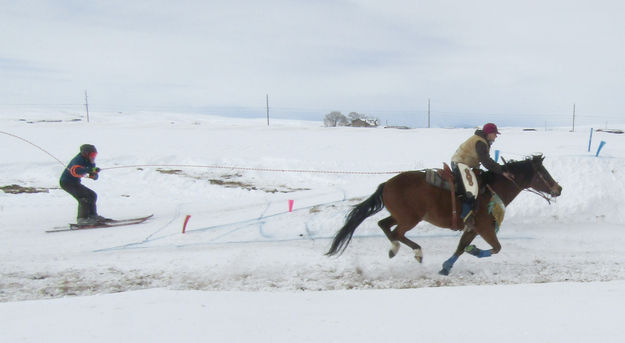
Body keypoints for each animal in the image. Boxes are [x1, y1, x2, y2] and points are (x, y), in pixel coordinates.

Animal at [324, 155, 564, 276]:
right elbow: (496, 248)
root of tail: (387, 184)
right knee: (397, 233)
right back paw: (415, 252)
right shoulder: (485, 228)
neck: (492, 188)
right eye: (543, 173)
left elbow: (460, 248)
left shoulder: (472, 228)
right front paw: (475, 251)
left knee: (384, 225)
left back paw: (394, 249)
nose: (558, 188)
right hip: (410, 218)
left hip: (400, 215)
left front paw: (447, 266)